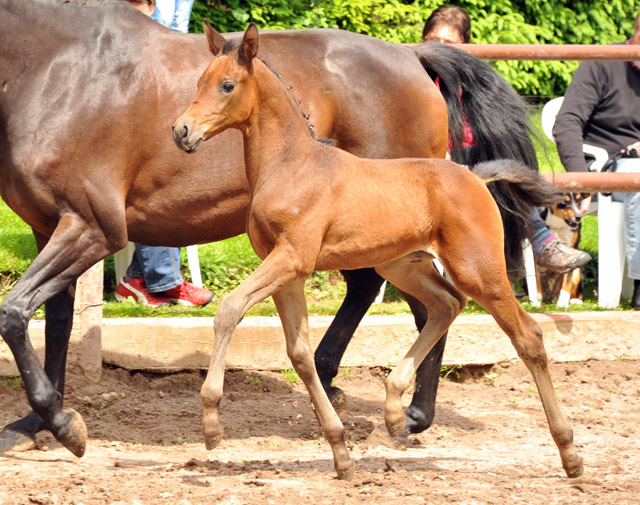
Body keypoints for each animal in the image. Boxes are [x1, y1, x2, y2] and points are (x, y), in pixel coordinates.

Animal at [172, 24, 584, 480]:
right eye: (200, 82)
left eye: (227, 85)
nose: (181, 131)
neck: (290, 165)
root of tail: (477, 178)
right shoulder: (287, 271)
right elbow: (299, 354)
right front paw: (341, 453)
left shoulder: (292, 258)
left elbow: (229, 309)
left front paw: (211, 425)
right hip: (404, 266)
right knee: (445, 305)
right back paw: (393, 409)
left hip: (477, 269)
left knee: (526, 335)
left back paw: (569, 453)